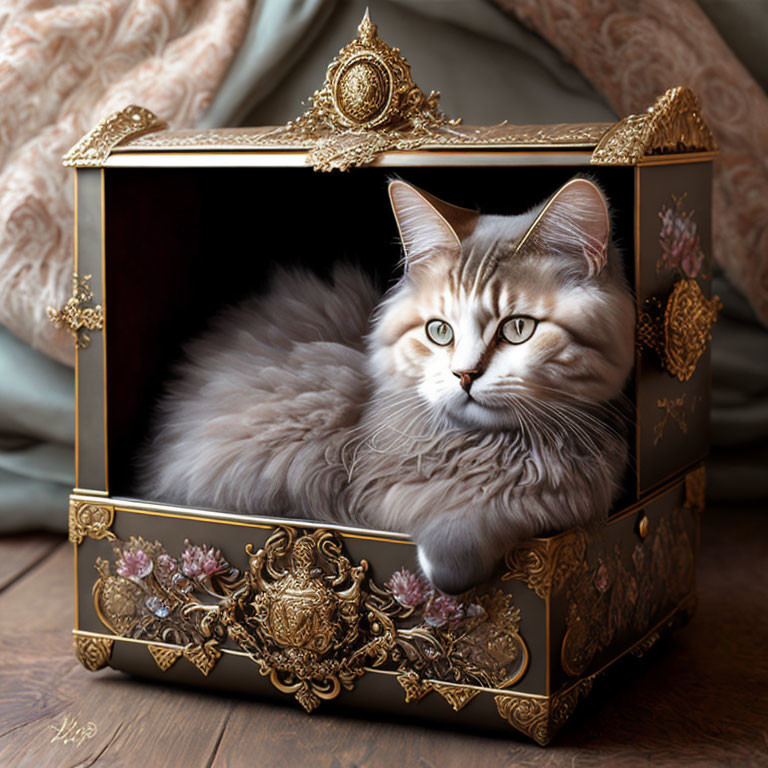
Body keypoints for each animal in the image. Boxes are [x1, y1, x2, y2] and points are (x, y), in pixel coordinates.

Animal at [141, 178, 632, 592]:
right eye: (440, 332)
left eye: (518, 329)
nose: (464, 376)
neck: (492, 449)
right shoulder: (372, 488)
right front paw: (446, 569)